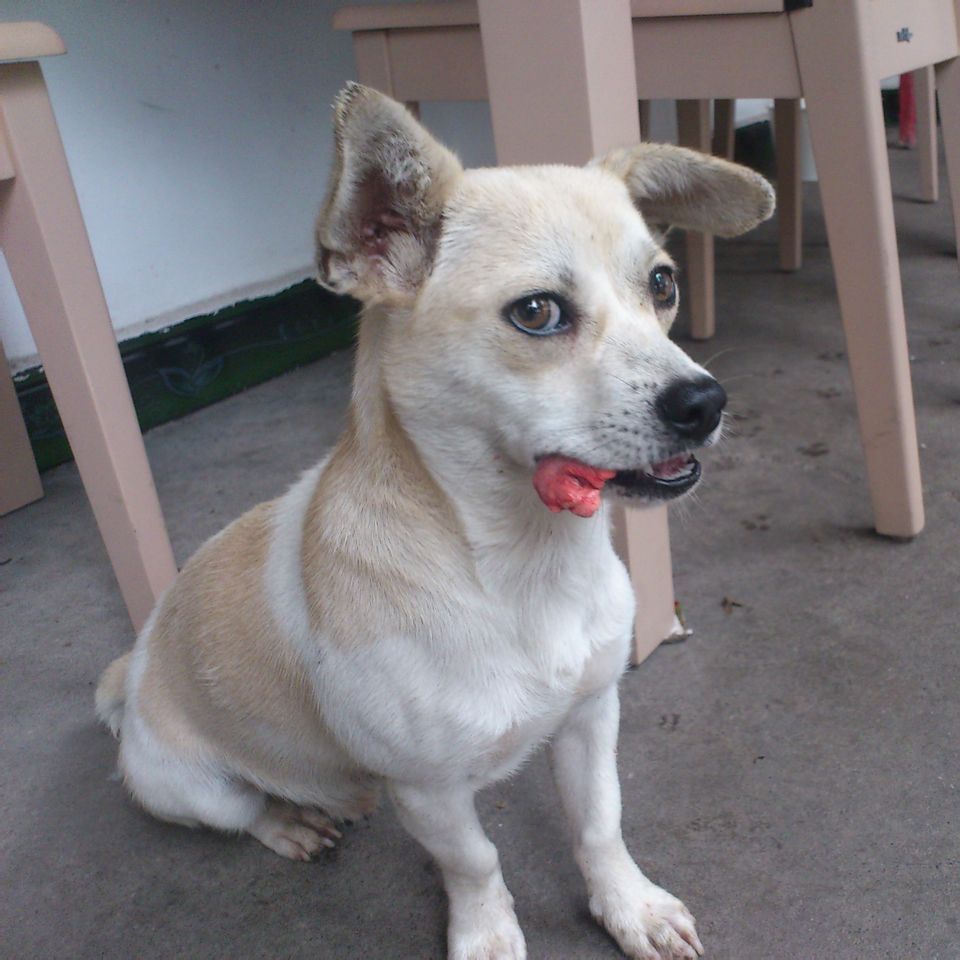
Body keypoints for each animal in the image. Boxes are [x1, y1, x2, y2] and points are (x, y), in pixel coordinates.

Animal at [96, 84, 773, 960]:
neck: (527, 564)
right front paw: (488, 936)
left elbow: (600, 825)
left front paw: (629, 908)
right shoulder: (430, 793)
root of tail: (134, 673)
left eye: (662, 285)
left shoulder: (592, 719)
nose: (705, 402)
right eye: (537, 312)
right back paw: (294, 821)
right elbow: (477, 863)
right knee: (246, 811)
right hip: (194, 789)